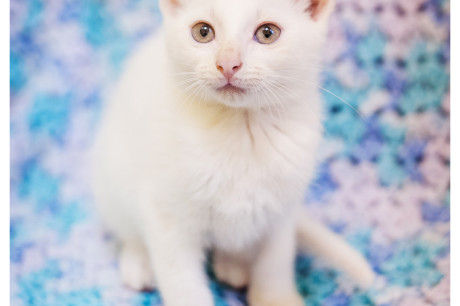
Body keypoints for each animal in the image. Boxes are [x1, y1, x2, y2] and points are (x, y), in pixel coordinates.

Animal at [90, 0, 374, 306]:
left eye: (267, 33)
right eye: (202, 32)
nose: (228, 63)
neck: (241, 131)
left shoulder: (283, 206)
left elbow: (276, 259)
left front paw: (275, 296)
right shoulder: (167, 212)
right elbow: (181, 277)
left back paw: (233, 264)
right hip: (113, 175)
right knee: (128, 227)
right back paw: (139, 263)